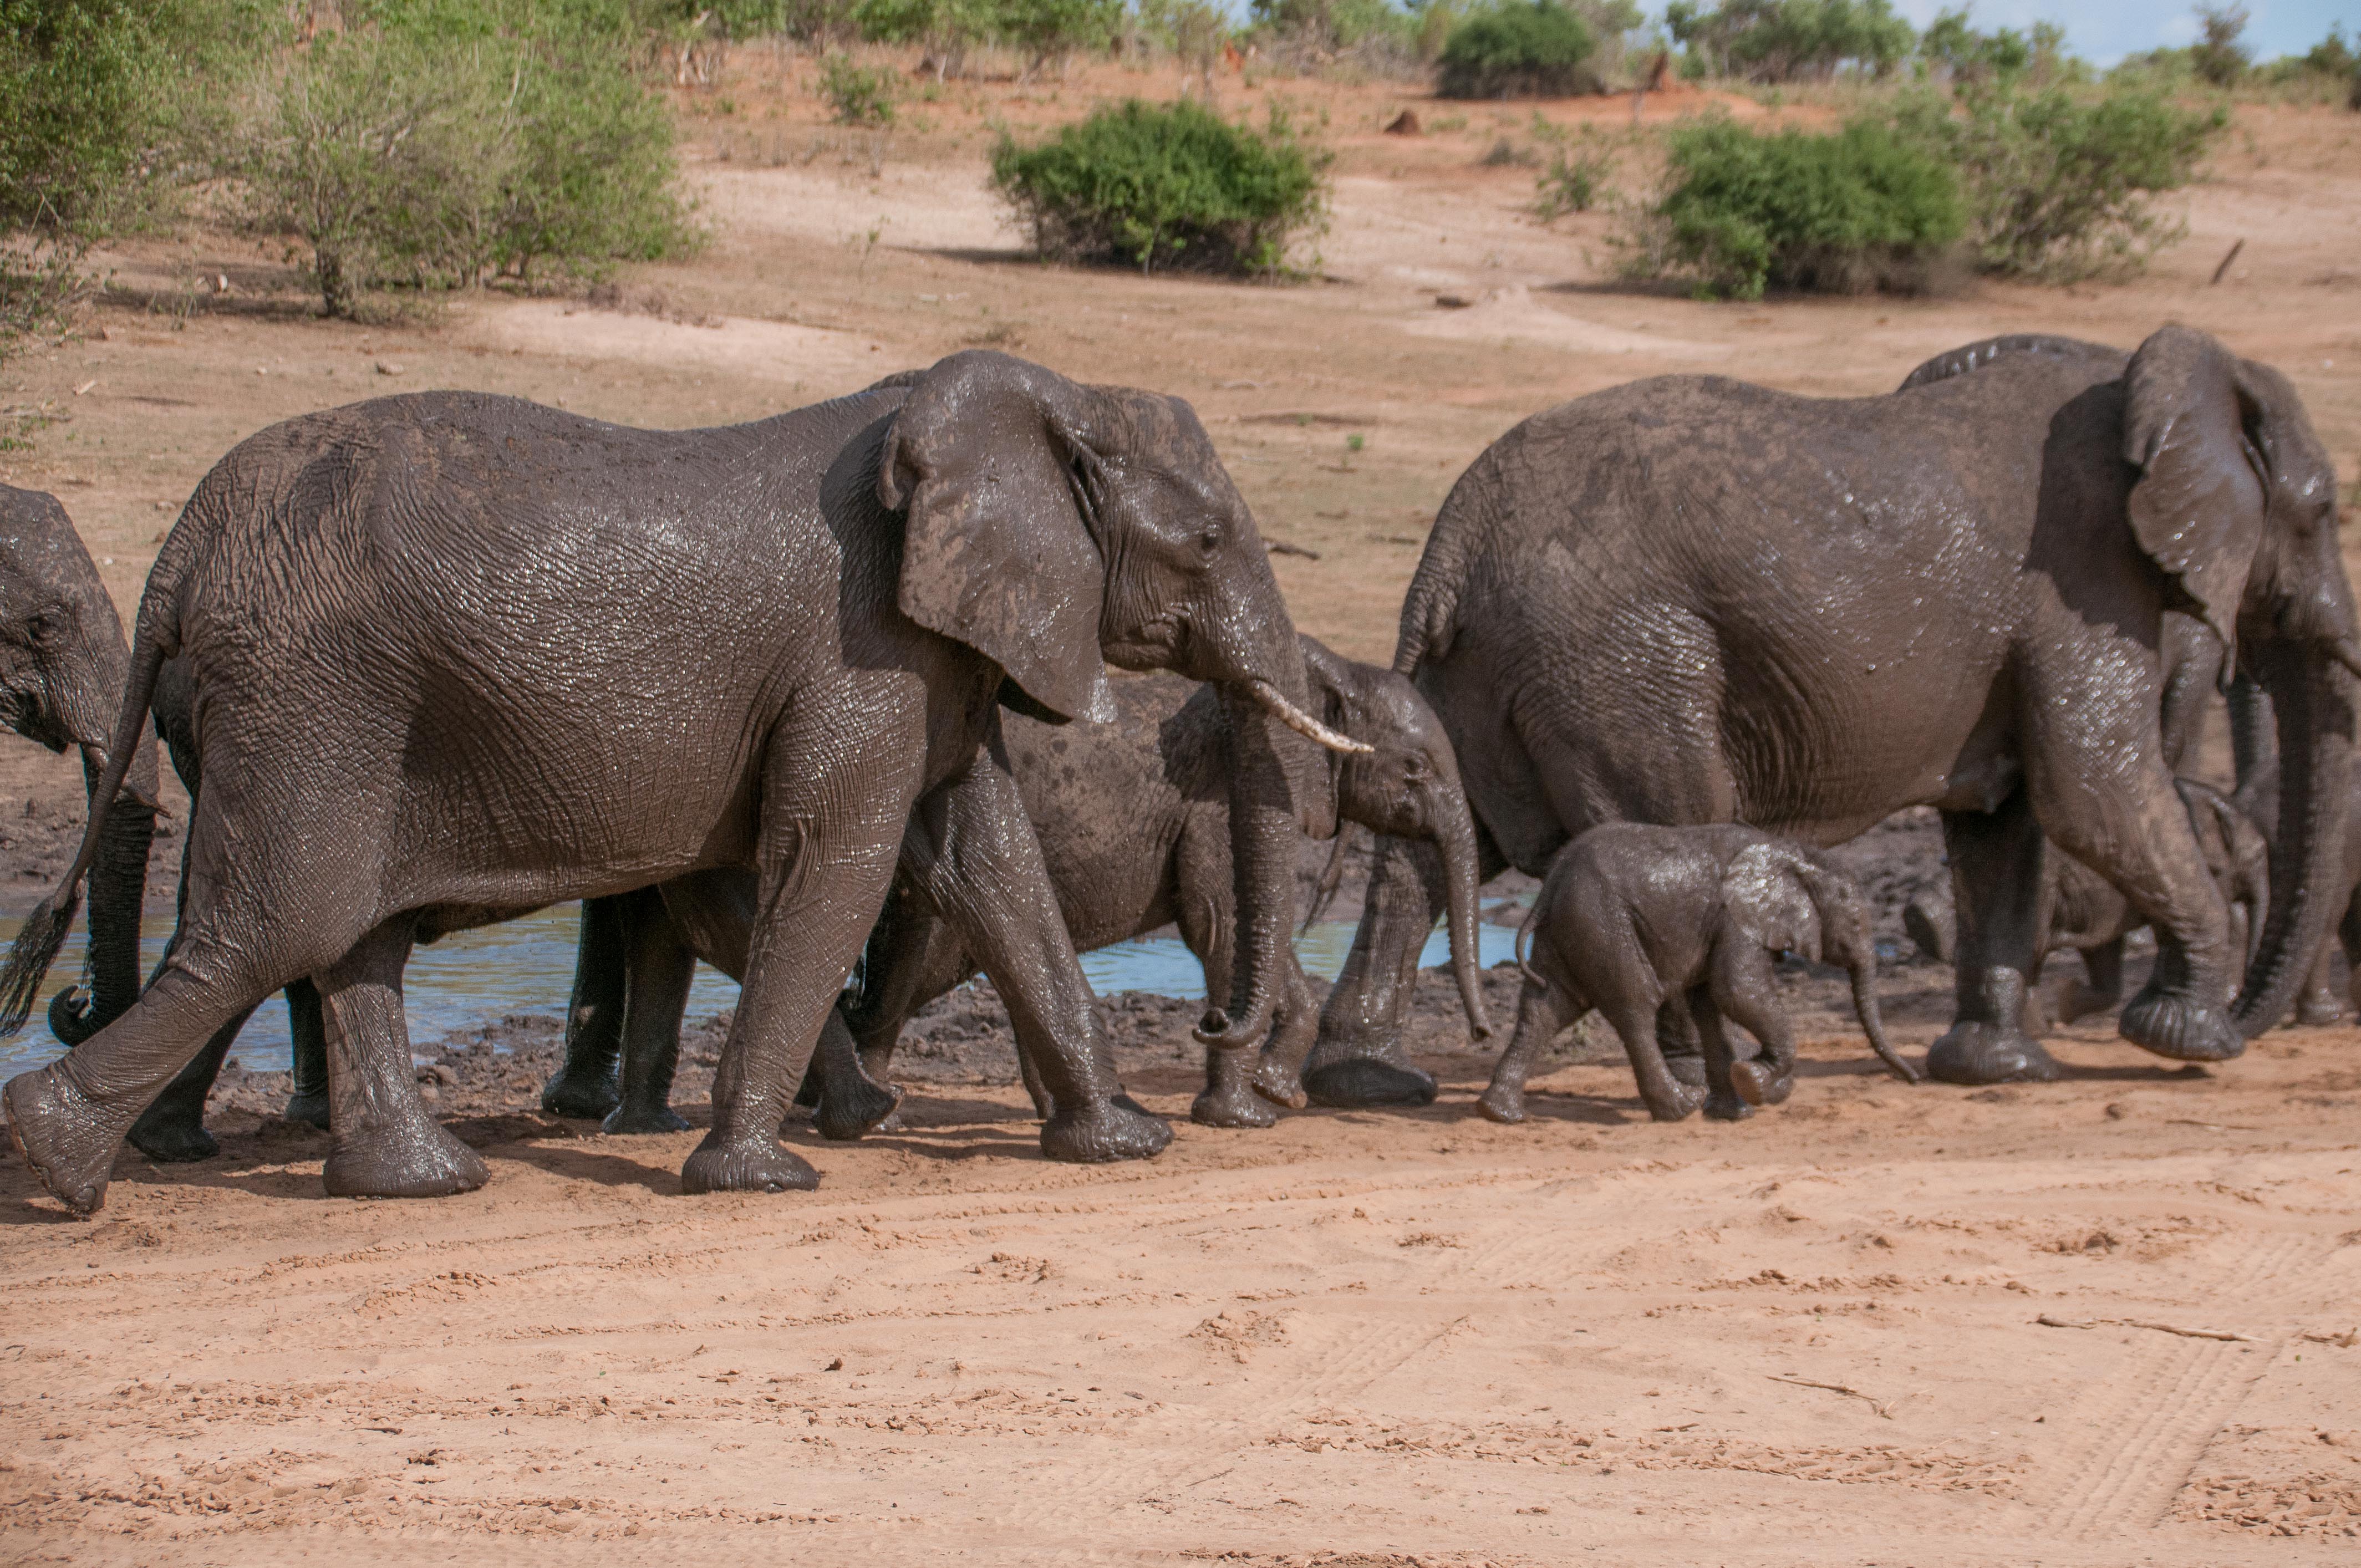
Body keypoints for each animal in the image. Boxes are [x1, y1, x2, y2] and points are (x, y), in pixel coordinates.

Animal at [4, 352, 1369, 1209]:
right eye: (1206, 542)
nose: (1209, 1026)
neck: (1033, 402)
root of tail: (178, 548)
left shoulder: (938, 654)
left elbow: (989, 863)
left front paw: (1123, 1148)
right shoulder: (861, 648)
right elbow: (838, 856)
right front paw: (764, 1177)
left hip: (344, 703)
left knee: (344, 932)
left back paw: (417, 1184)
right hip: (311, 691)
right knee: (275, 921)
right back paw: (59, 1162)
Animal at [536, 633, 1492, 1138]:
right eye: (1412, 772)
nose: (1481, 1034)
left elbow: (1238, 935)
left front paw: (1271, 1097)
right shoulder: (1216, 801)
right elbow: (1219, 925)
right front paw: (1249, 1113)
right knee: (891, 972)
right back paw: (868, 1115)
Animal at [1483, 822, 1926, 1128]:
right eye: (1856, 922)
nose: (1914, 1080)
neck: (1798, 855)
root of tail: (1550, 884)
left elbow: (1711, 1004)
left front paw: (1738, 1111)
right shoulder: (1736, 918)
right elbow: (1737, 991)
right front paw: (1756, 1079)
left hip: (1571, 926)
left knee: (1547, 1007)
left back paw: (1500, 1114)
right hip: (1603, 921)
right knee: (1635, 1005)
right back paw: (1681, 1107)